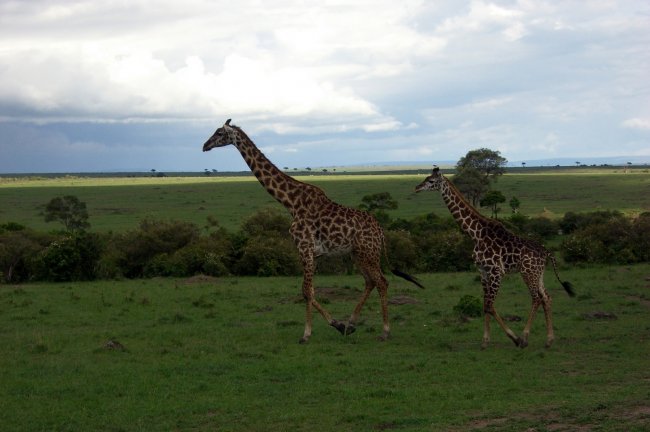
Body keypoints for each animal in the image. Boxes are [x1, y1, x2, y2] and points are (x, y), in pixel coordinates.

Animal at [202, 119, 423, 343]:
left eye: (219, 132)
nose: (204, 146)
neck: (290, 202)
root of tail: (381, 231)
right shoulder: (314, 253)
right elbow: (309, 290)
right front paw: (339, 325)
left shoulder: (304, 248)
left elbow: (306, 291)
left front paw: (306, 334)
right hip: (357, 254)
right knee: (370, 281)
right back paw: (351, 323)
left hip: (368, 252)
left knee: (382, 282)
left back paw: (385, 331)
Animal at [415, 166, 575, 349]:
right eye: (426, 177)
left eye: (431, 181)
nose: (417, 187)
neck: (475, 234)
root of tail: (546, 252)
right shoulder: (482, 271)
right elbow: (485, 304)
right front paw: (485, 341)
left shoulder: (497, 271)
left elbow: (490, 305)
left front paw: (514, 338)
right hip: (538, 273)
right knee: (546, 297)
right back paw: (549, 340)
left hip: (528, 272)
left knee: (536, 298)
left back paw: (525, 337)